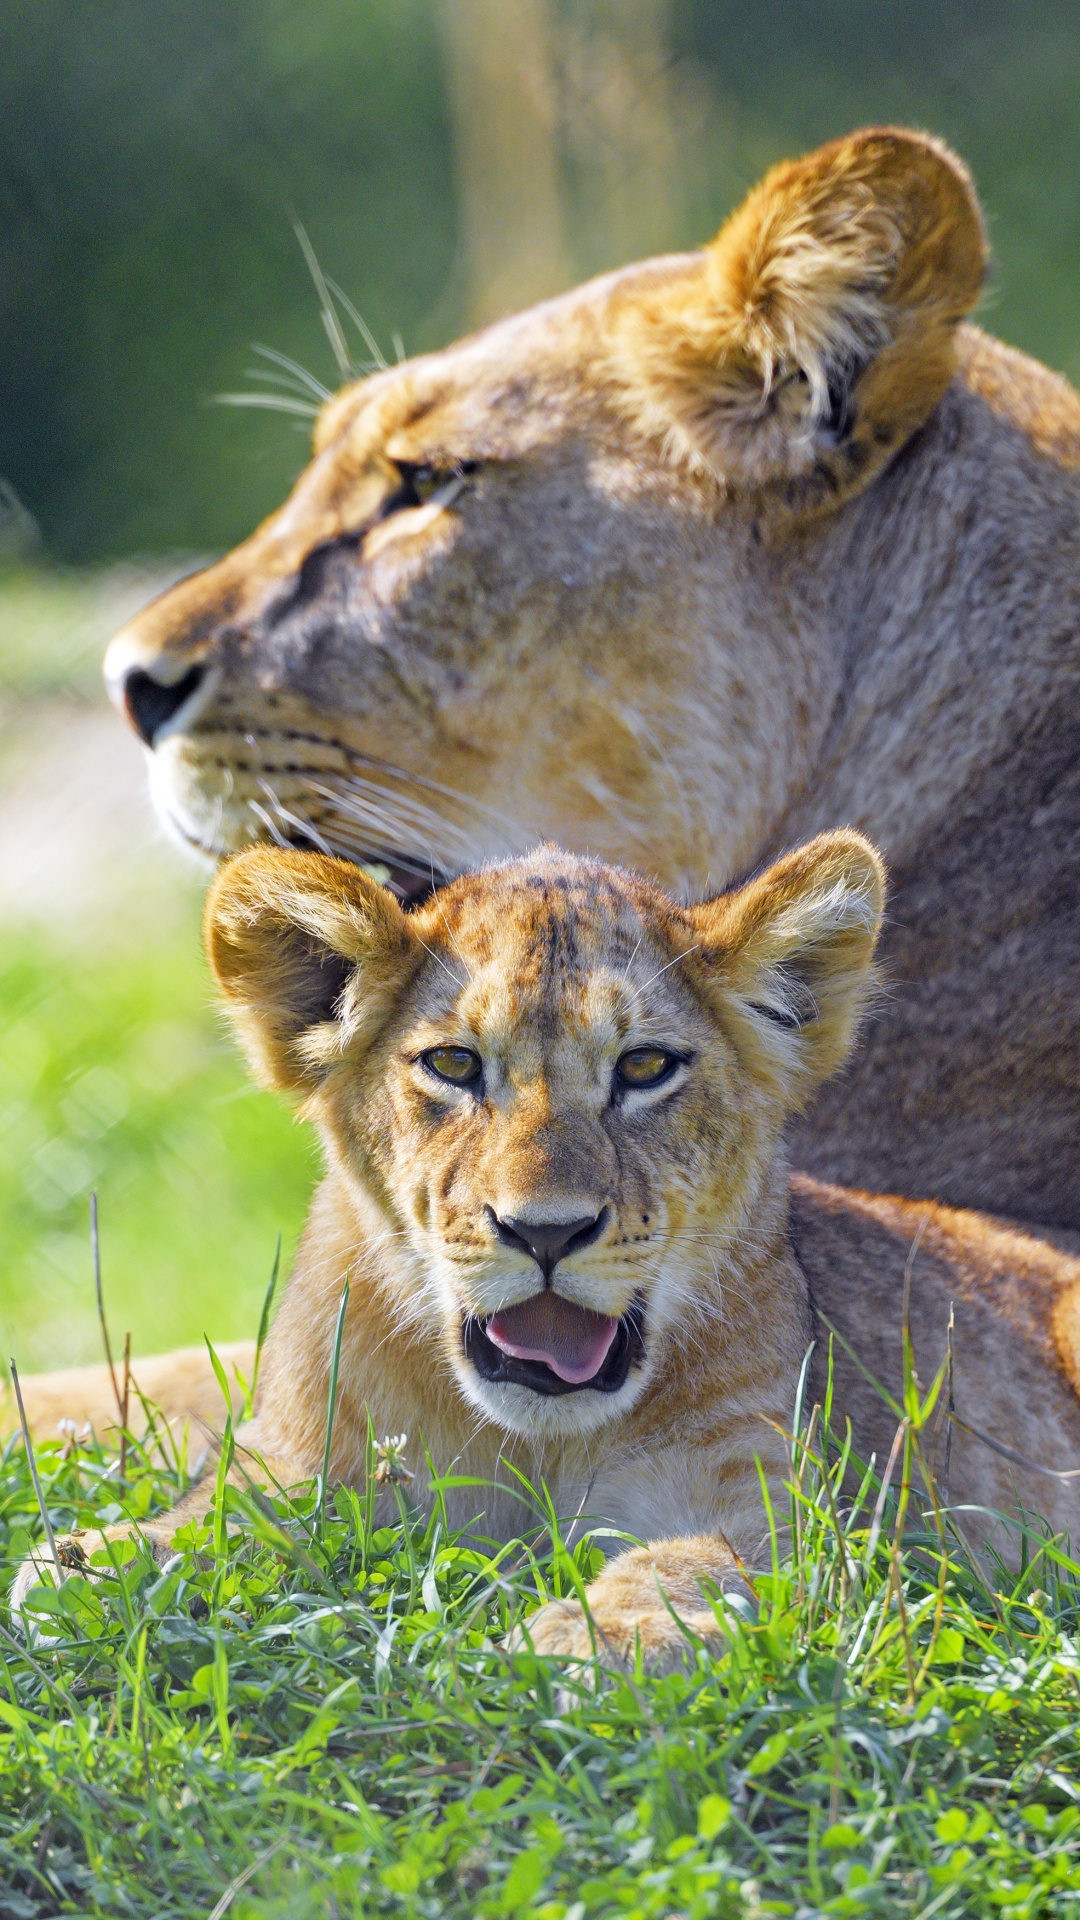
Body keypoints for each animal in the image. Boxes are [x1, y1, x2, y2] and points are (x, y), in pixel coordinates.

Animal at [16, 838, 1080, 1661]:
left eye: (644, 1067)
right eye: (454, 1064)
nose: (546, 1232)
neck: (536, 1443)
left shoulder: (795, 1522)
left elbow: (690, 1566)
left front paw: (591, 1638)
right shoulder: (307, 1463)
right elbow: (222, 1517)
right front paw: (90, 1563)